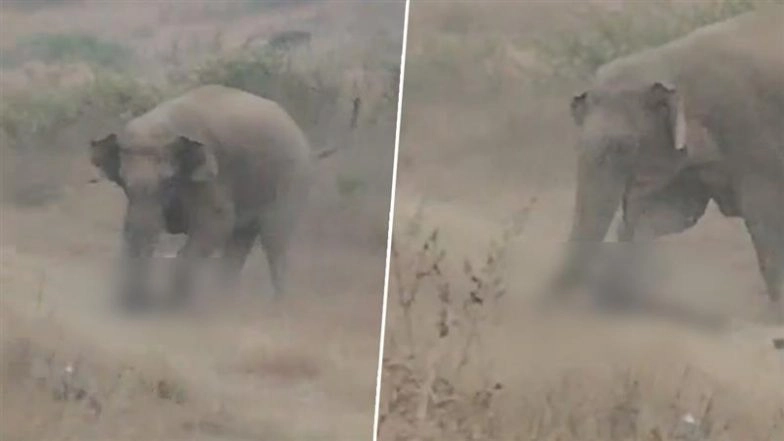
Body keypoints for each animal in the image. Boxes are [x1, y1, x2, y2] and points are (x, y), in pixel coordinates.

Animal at [89, 84, 340, 312]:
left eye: (168, 181)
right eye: (123, 183)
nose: (139, 304)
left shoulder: (214, 177)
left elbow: (216, 224)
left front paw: (174, 307)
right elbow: (133, 226)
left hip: (292, 181)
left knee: (274, 241)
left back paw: (275, 305)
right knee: (240, 242)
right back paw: (225, 301)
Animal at [548, 6, 784, 318]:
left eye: (625, 147)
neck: (665, 60)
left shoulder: (752, 132)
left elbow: (765, 218)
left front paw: (774, 315)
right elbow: (670, 212)